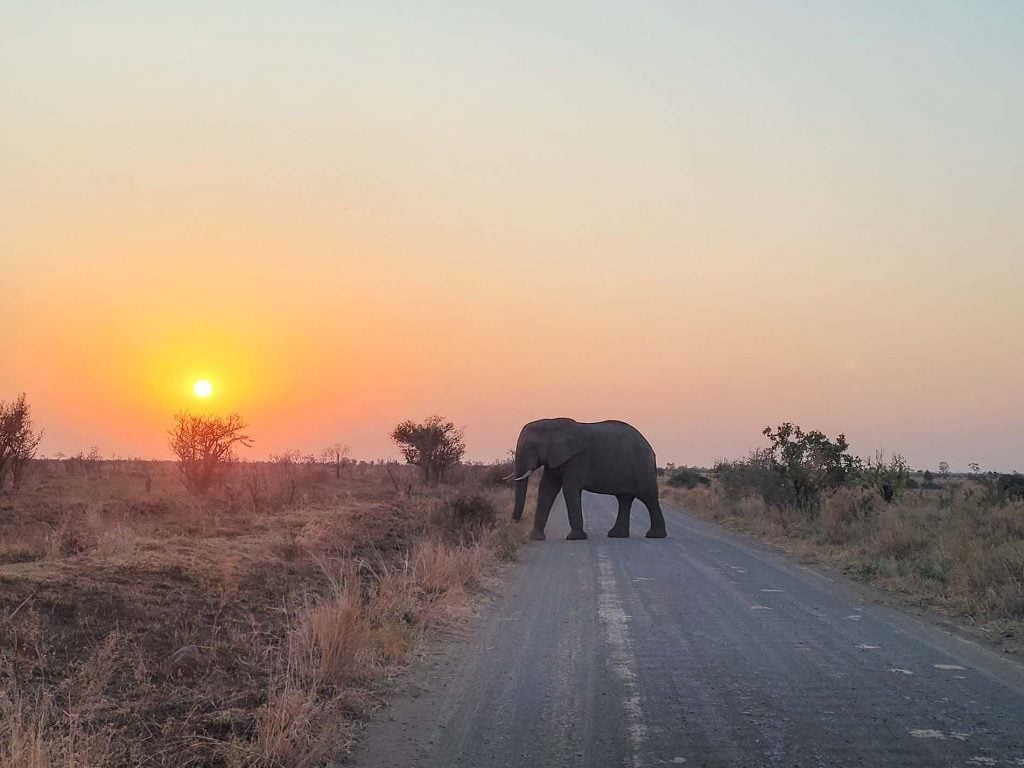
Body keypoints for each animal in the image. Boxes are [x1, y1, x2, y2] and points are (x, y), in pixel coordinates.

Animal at [509, 421, 667, 540]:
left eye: (534, 446)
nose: (514, 523)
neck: (553, 423)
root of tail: (650, 447)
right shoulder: (555, 459)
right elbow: (547, 488)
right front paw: (535, 538)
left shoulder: (577, 459)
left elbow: (569, 489)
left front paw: (575, 538)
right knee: (624, 499)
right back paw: (616, 535)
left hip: (642, 466)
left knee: (648, 497)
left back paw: (655, 536)